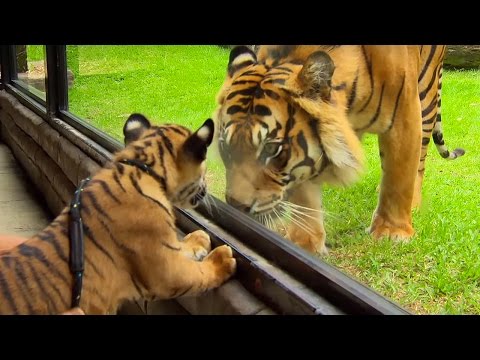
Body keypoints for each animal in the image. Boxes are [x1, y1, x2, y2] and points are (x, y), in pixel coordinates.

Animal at [0, 114, 236, 314]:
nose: (206, 189)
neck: (143, 166)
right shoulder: (168, 270)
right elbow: (200, 274)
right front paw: (222, 259)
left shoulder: (165, 244)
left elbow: (181, 244)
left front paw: (199, 238)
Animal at [213, 45, 462, 255]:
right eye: (226, 147)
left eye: (271, 149)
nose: (236, 206)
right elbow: (304, 194)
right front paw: (306, 243)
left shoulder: (405, 115)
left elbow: (399, 176)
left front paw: (392, 233)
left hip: (427, 96)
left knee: (418, 162)